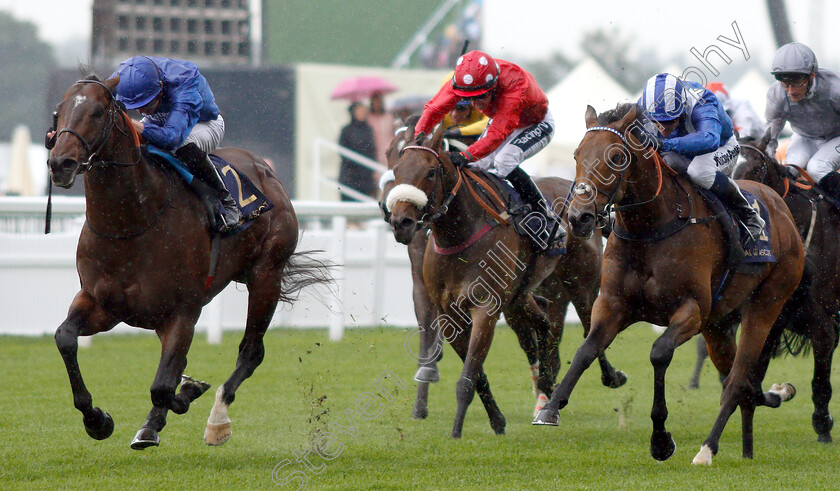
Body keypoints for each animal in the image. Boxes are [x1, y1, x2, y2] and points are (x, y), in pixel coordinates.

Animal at [536, 104, 804, 466]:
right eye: (577, 154)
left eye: (616, 157)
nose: (579, 217)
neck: (650, 228)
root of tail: (780, 206)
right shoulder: (614, 304)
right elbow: (586, 349)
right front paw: (550, 408)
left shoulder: (691, 310)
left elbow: (659, 353)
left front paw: (661, 439)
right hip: (718, 325)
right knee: (740, 380)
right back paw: (751, 440)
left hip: (767, 303)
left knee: (737, 379)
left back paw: (708, 448)